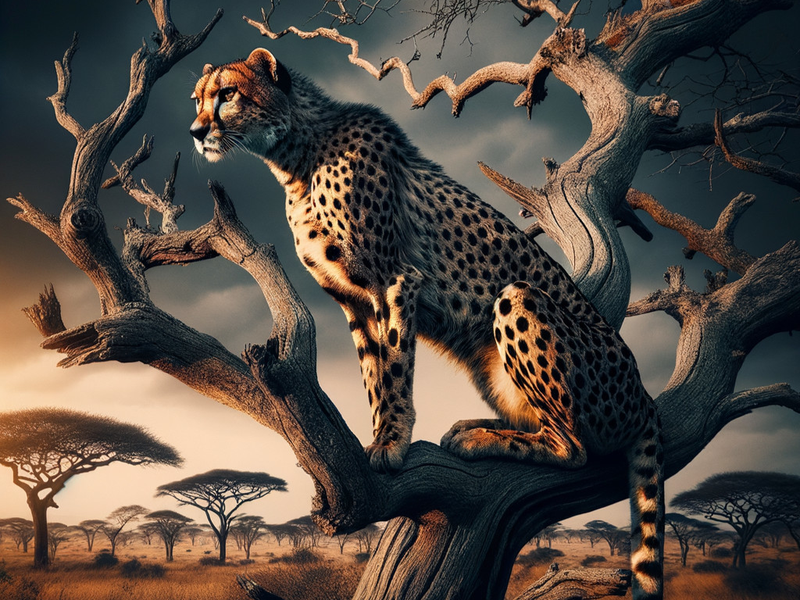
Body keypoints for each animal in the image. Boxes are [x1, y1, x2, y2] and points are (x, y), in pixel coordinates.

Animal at [190, 48, 665, 599]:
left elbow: (396, 367)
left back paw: (481, 439)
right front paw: (379, 436)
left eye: (228, 94)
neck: (296, 156)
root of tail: (644, 394)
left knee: (573, 446)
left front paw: (392, 442)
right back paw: (476, 426)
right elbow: (372, 374)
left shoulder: (395, 280)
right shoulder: (353, 301)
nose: (196, 131)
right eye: (197, 98)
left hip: (517, 300)